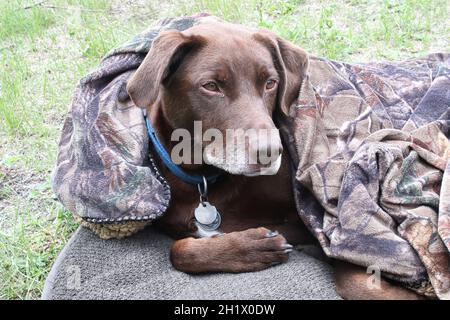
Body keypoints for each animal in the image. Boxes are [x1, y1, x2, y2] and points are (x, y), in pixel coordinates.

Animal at [126, 20, 426, 300]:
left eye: (270, 83)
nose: (270, 151)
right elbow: (177, 251)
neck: (203, 179)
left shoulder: (315, 223)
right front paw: (251, 247)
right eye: (210, 86)